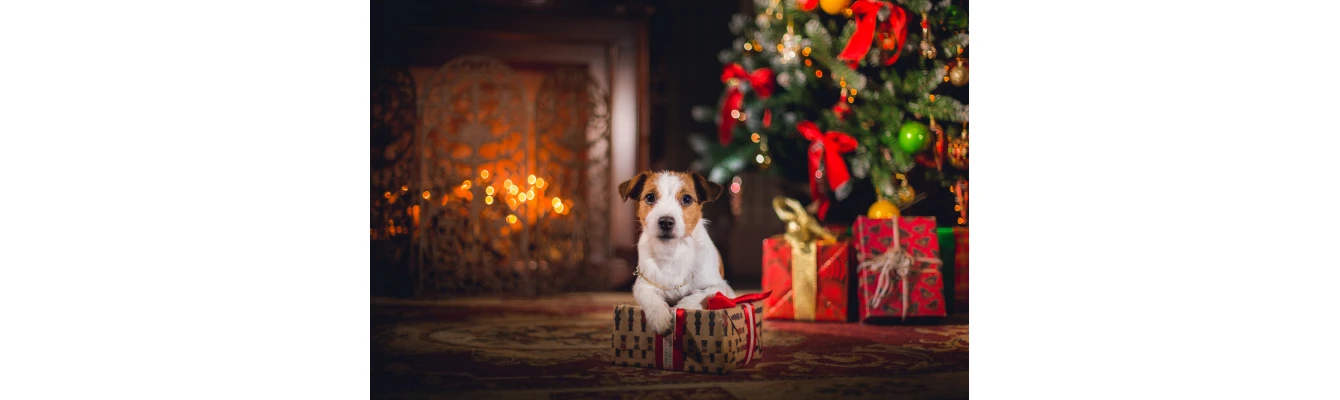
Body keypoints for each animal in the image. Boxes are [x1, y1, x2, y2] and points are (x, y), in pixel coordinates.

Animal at [616, 171, 734, 335]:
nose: (666, 222)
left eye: (687, 199)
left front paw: (683, 307)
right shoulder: (643, 286)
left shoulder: (720, 286)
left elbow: (702, 294)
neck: (672, 252)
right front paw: (659, 316)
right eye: (650, 197)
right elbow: (649, 297)